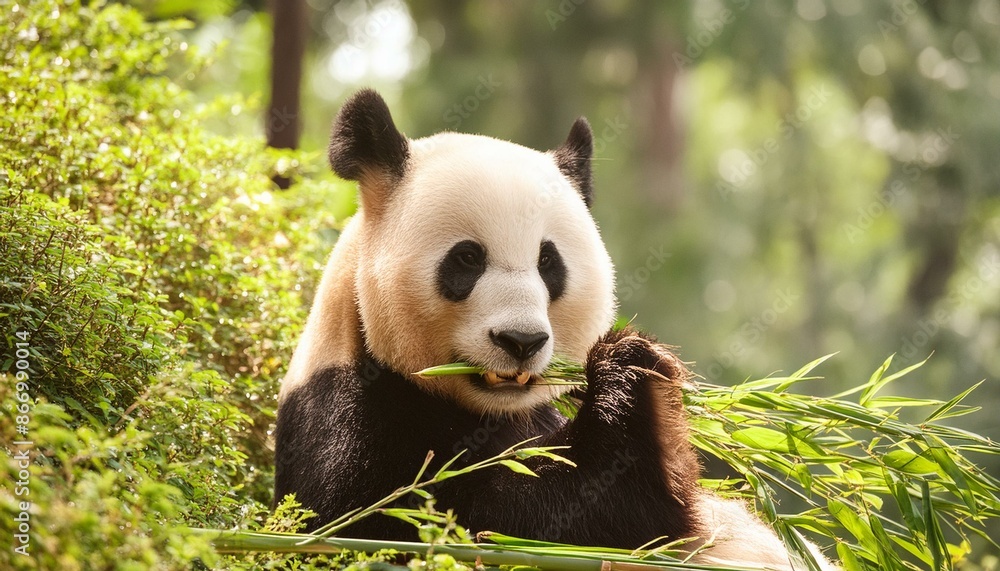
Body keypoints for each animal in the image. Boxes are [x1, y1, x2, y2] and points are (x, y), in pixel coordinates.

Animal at [274, 89, 836, 570]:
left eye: (549, 262)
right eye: (467, 259)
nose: (521, 342)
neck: (483, 408)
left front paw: (645, 369)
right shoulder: (353, 423)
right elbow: (490, 524)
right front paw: (633, 380)